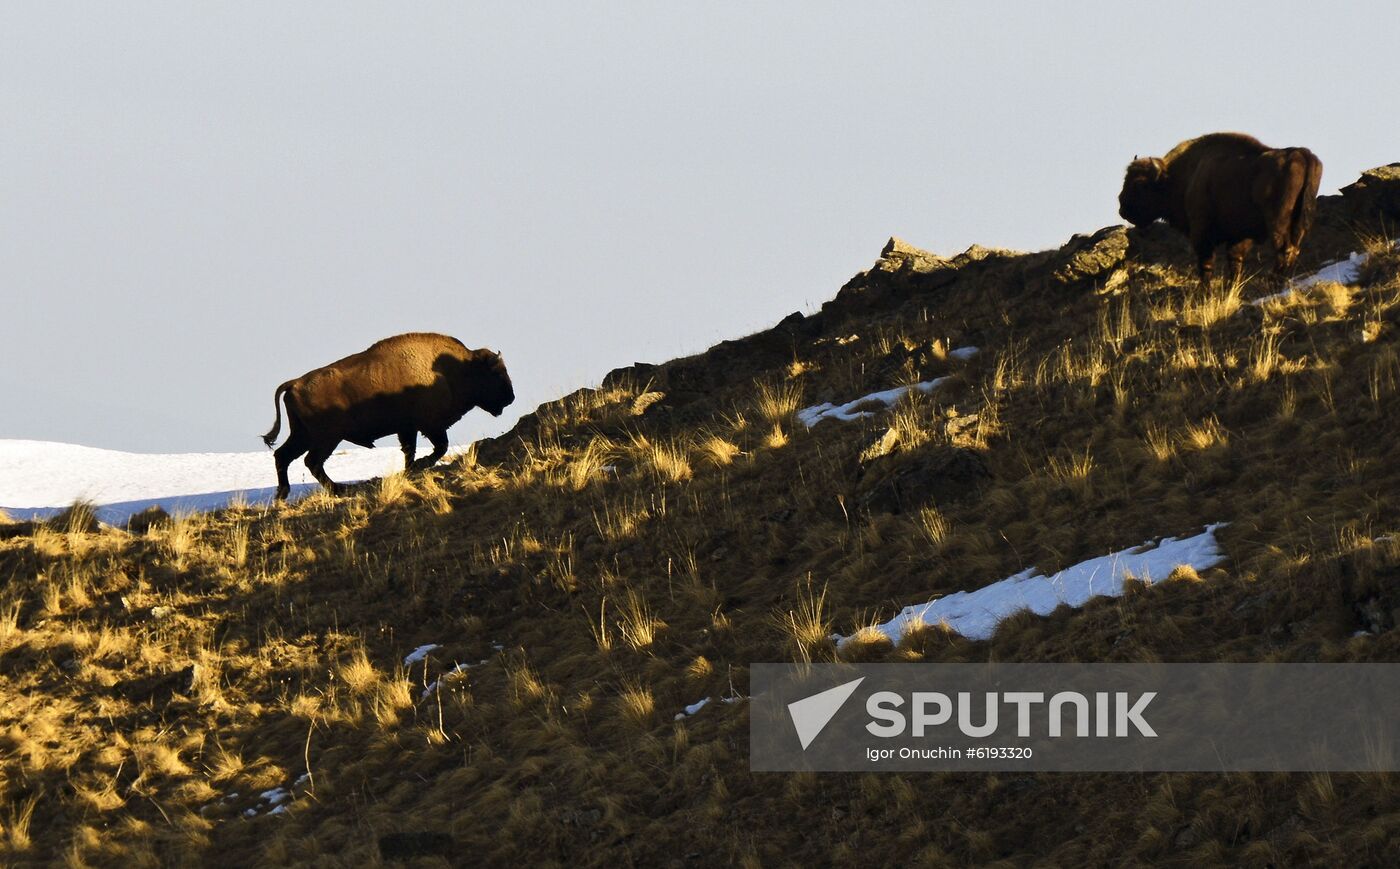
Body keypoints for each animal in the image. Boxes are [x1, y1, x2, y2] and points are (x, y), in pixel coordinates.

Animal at [263, 328, 515, 498]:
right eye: (496, 372)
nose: (510, 397)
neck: (458, 368)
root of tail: (295, 383)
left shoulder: (408, 429)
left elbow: (410, 451)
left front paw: (411, 468)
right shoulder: (431, 426)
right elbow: (438, 448)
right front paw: (420, 464)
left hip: (304, 435)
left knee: (284, 456)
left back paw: (284, 494)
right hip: (326, 438)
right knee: (311, 461)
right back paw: (338, 489)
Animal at [1114, 132, 1321, 284]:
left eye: (1140, 185)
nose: (1123, 208)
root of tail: (1301, 154)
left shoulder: (1202, 233)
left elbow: (1206, 264)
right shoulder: (1238, 237)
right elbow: (1235, 263)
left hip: (1278, 223)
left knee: (1285, 249)